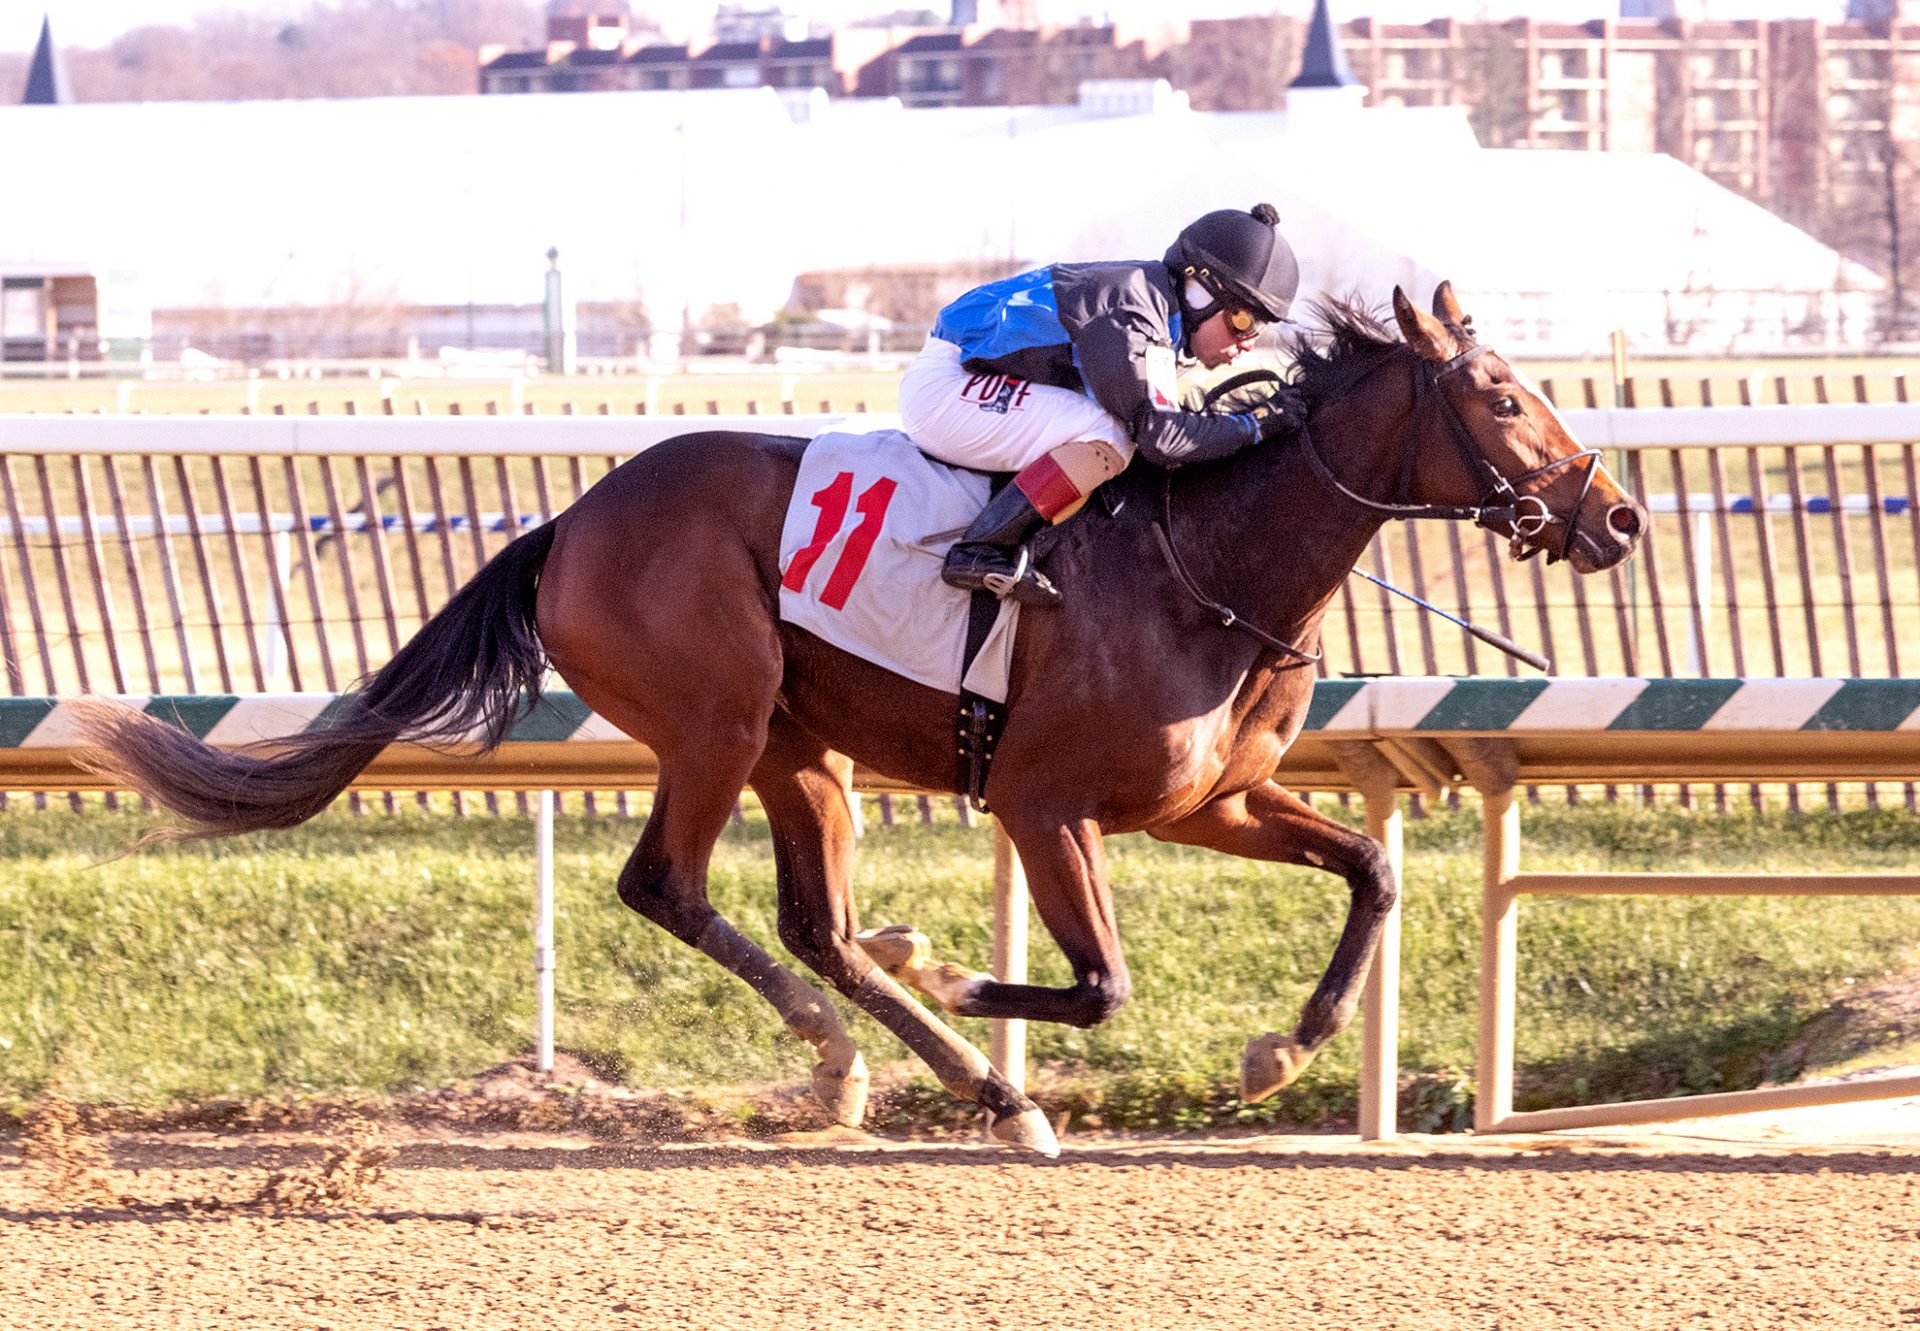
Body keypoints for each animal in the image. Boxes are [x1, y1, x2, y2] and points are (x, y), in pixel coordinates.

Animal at [74, 282, 1651, 1152]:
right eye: (1500, 393)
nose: (1621, 516)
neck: (1210, 564)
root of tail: (572, 520)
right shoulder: (1044, 804)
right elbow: (1102, 982)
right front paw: (949, 967)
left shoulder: (1204, 800)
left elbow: (1370, 869)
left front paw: (1284, 1050)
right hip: (716, 722)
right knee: (671, 886)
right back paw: (879, 1057)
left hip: (801, 747)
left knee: (808, 920)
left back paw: (936, 1074)